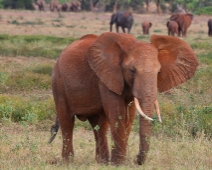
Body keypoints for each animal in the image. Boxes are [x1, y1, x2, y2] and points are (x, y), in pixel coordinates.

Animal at [49, 31, 199, 165]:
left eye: (159, 72)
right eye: (132, 71)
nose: (137, 160)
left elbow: (129, 116)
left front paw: (119, 162)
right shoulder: (107, 76)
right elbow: (118, 114)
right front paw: (119, 164)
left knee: (99, 124)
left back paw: (102, 162)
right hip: (58, 82)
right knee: (67, 121)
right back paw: (68, 163)